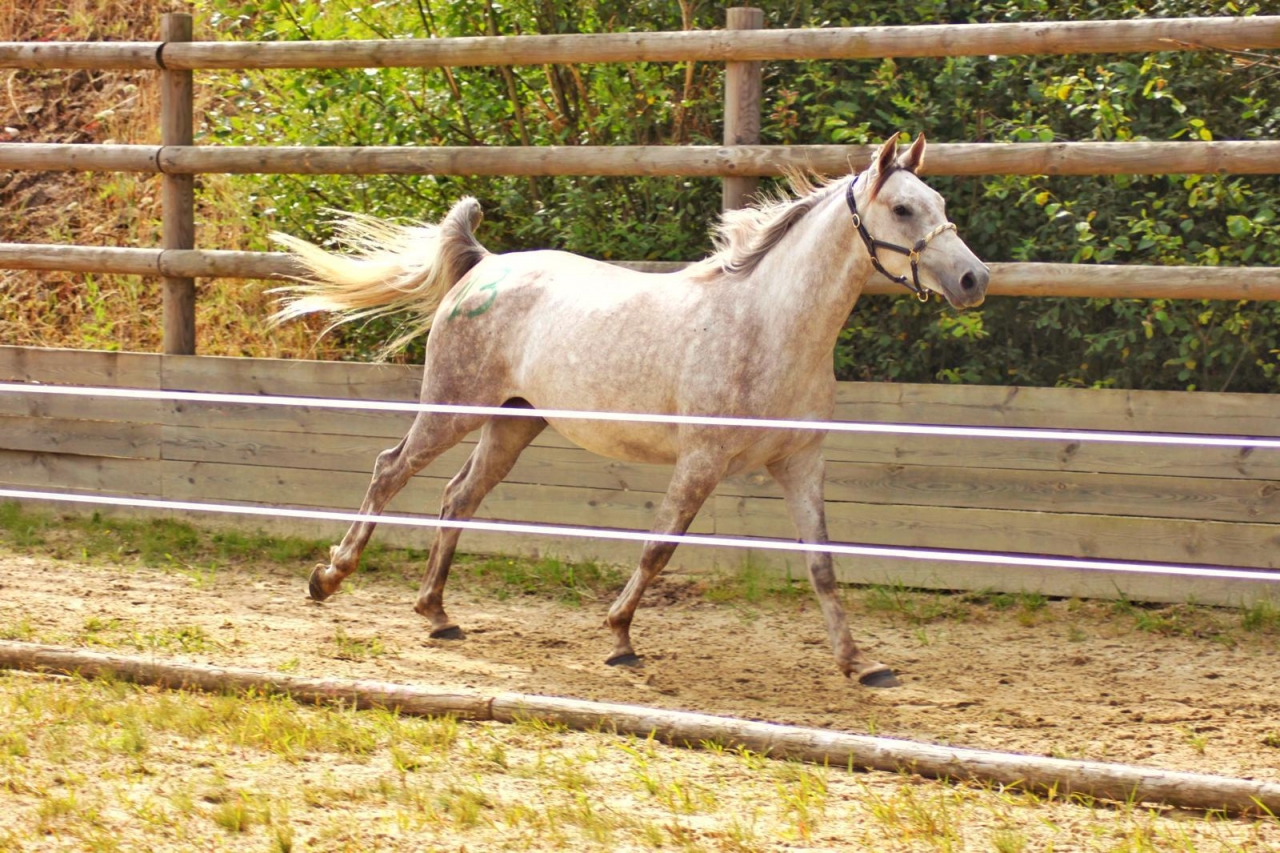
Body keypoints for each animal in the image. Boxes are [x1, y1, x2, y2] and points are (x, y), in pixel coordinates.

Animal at [272, 133, 989, 688]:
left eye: (942, 205)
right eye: (903, 208)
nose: (974, 280)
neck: (768, 325)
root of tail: (483, 264)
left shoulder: (800, 462)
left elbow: (823, 565)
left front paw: (861, 663)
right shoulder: (701, 460)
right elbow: (658, 548)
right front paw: (618, 638)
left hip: (513, 424)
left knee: (457, 497)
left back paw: (438, 614)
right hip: (455, 406)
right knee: (390, 469)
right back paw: (329, 578)